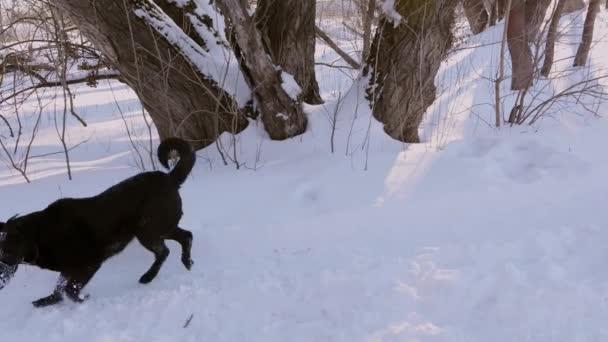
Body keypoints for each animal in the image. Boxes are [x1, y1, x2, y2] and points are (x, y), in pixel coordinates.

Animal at [0, 136, 196, 308]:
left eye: (5, 251)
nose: (0, 280)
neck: (39, 236)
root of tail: (169, 179)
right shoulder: (68, 270)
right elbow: (59, 289)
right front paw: (46, 301)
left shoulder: (89, 264)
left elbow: (70, 289)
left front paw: (82, 300)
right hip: (161, 227)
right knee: (186, 236)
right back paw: (186, 263)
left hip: (148, 231)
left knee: (164, 251)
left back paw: (148, 277)